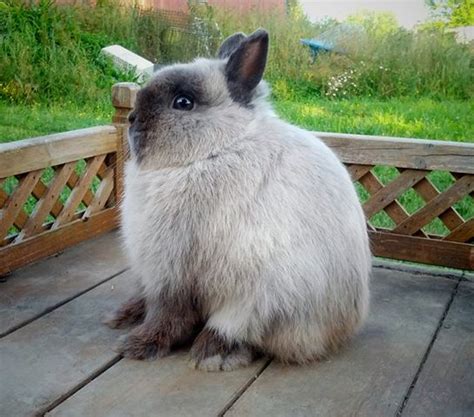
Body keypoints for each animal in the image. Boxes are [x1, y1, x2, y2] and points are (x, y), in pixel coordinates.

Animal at [103, 27, 370, 368]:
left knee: (237, 328)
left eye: (183, 102)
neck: (215, 150)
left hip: (263, 294)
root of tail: (342, 328)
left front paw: (136, 345)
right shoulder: (159, 270)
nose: (132, 118)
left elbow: (168, 316)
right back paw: (122, 315)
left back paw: (211, 353)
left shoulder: (172, 271)